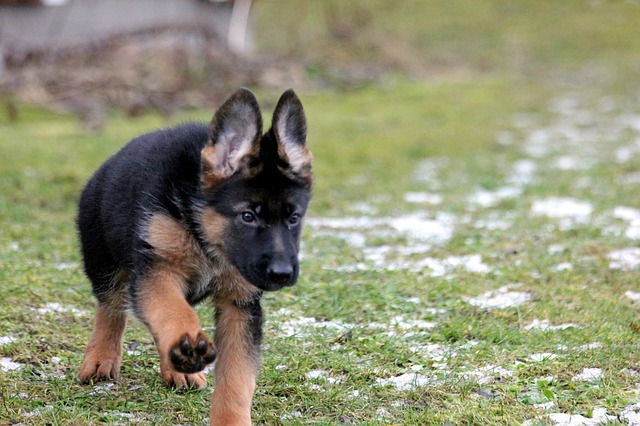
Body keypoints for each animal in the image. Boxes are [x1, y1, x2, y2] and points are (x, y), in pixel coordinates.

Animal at [77, 88, 312, 424]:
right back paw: (101, 358)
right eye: (248, 216)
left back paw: (178, 368)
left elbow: (237, 379)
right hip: (105, 263)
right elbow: (173, 311)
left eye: (293, 218)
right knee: (111, 308)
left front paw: (231, 419)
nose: (282, 274)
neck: (203, 233)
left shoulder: (240, 304)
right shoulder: (156, 272)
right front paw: (185, 341)